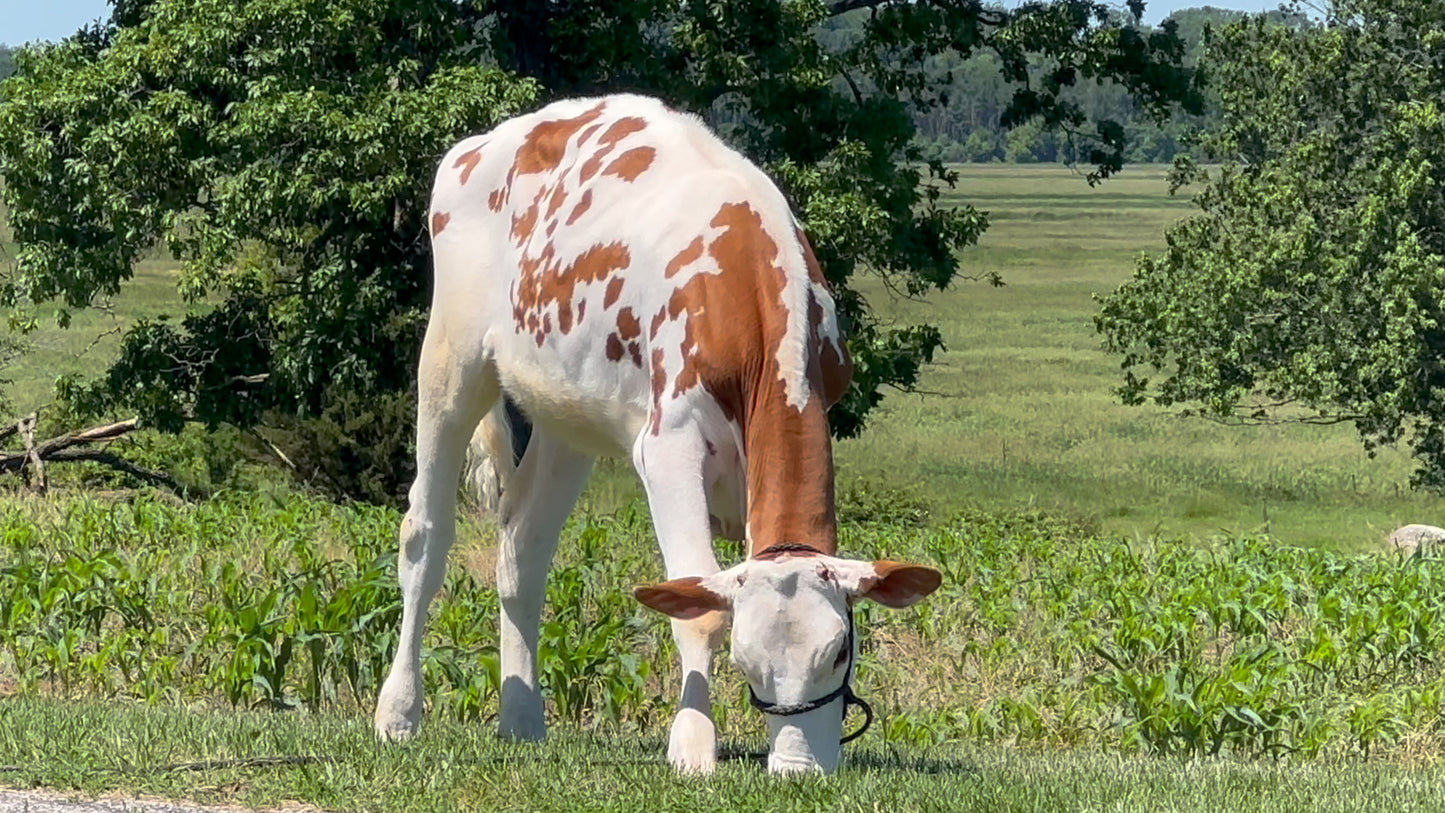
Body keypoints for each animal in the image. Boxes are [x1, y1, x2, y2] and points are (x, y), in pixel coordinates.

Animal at [372, 94, 943, 775]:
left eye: (838, 652)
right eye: (746, 662)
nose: (797, 769)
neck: (748, 290)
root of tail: (485, 142)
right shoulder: (669, 446)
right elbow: (696, 605)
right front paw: (692, 747)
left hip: (568, 415)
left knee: (523, 548)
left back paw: (523, 719)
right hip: (452, 359)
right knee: (424, 535)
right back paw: (398, 713)